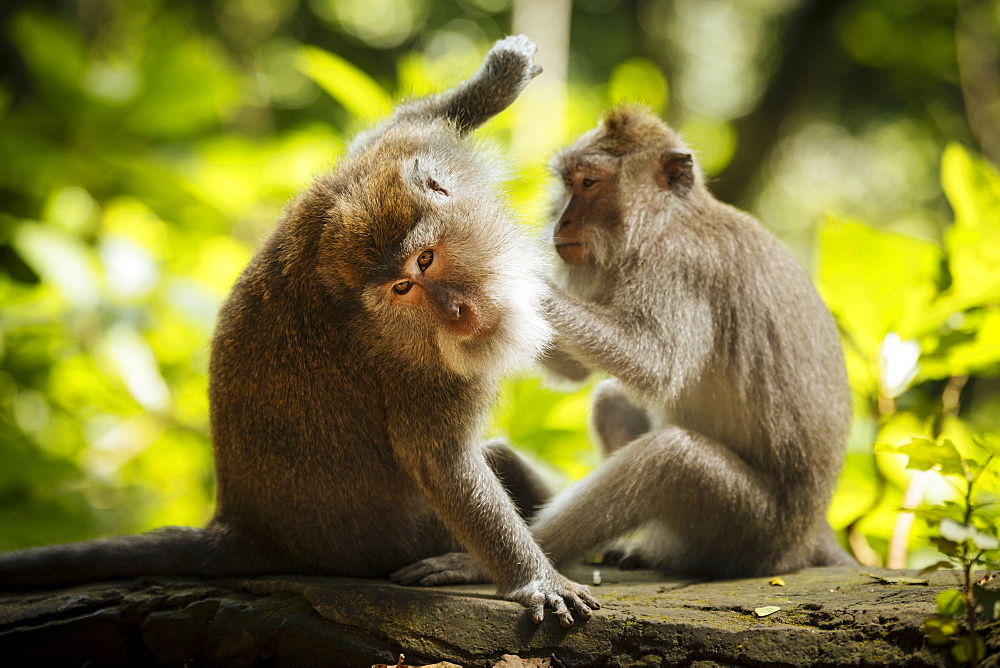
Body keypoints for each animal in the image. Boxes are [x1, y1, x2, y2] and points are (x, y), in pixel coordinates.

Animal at [0, 39, 596, 628]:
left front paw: (495, 82)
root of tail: (245, 525)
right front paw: (531, 578)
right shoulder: (415, 367)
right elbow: (442, 464)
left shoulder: (386, 158)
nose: (456, 313)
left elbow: (389, 130)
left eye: (426, 259)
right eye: (404, 287)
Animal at [394, 104, 856, 584]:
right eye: (568, 183)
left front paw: (516, 274)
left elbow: (654, 364)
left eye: (589, 183)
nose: (561, 221)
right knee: (612, 401)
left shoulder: (679, 264)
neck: (668, 221)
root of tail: (809, 537)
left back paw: (491, 564)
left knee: (668, 459)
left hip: (754, 529)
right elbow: (577, 370)